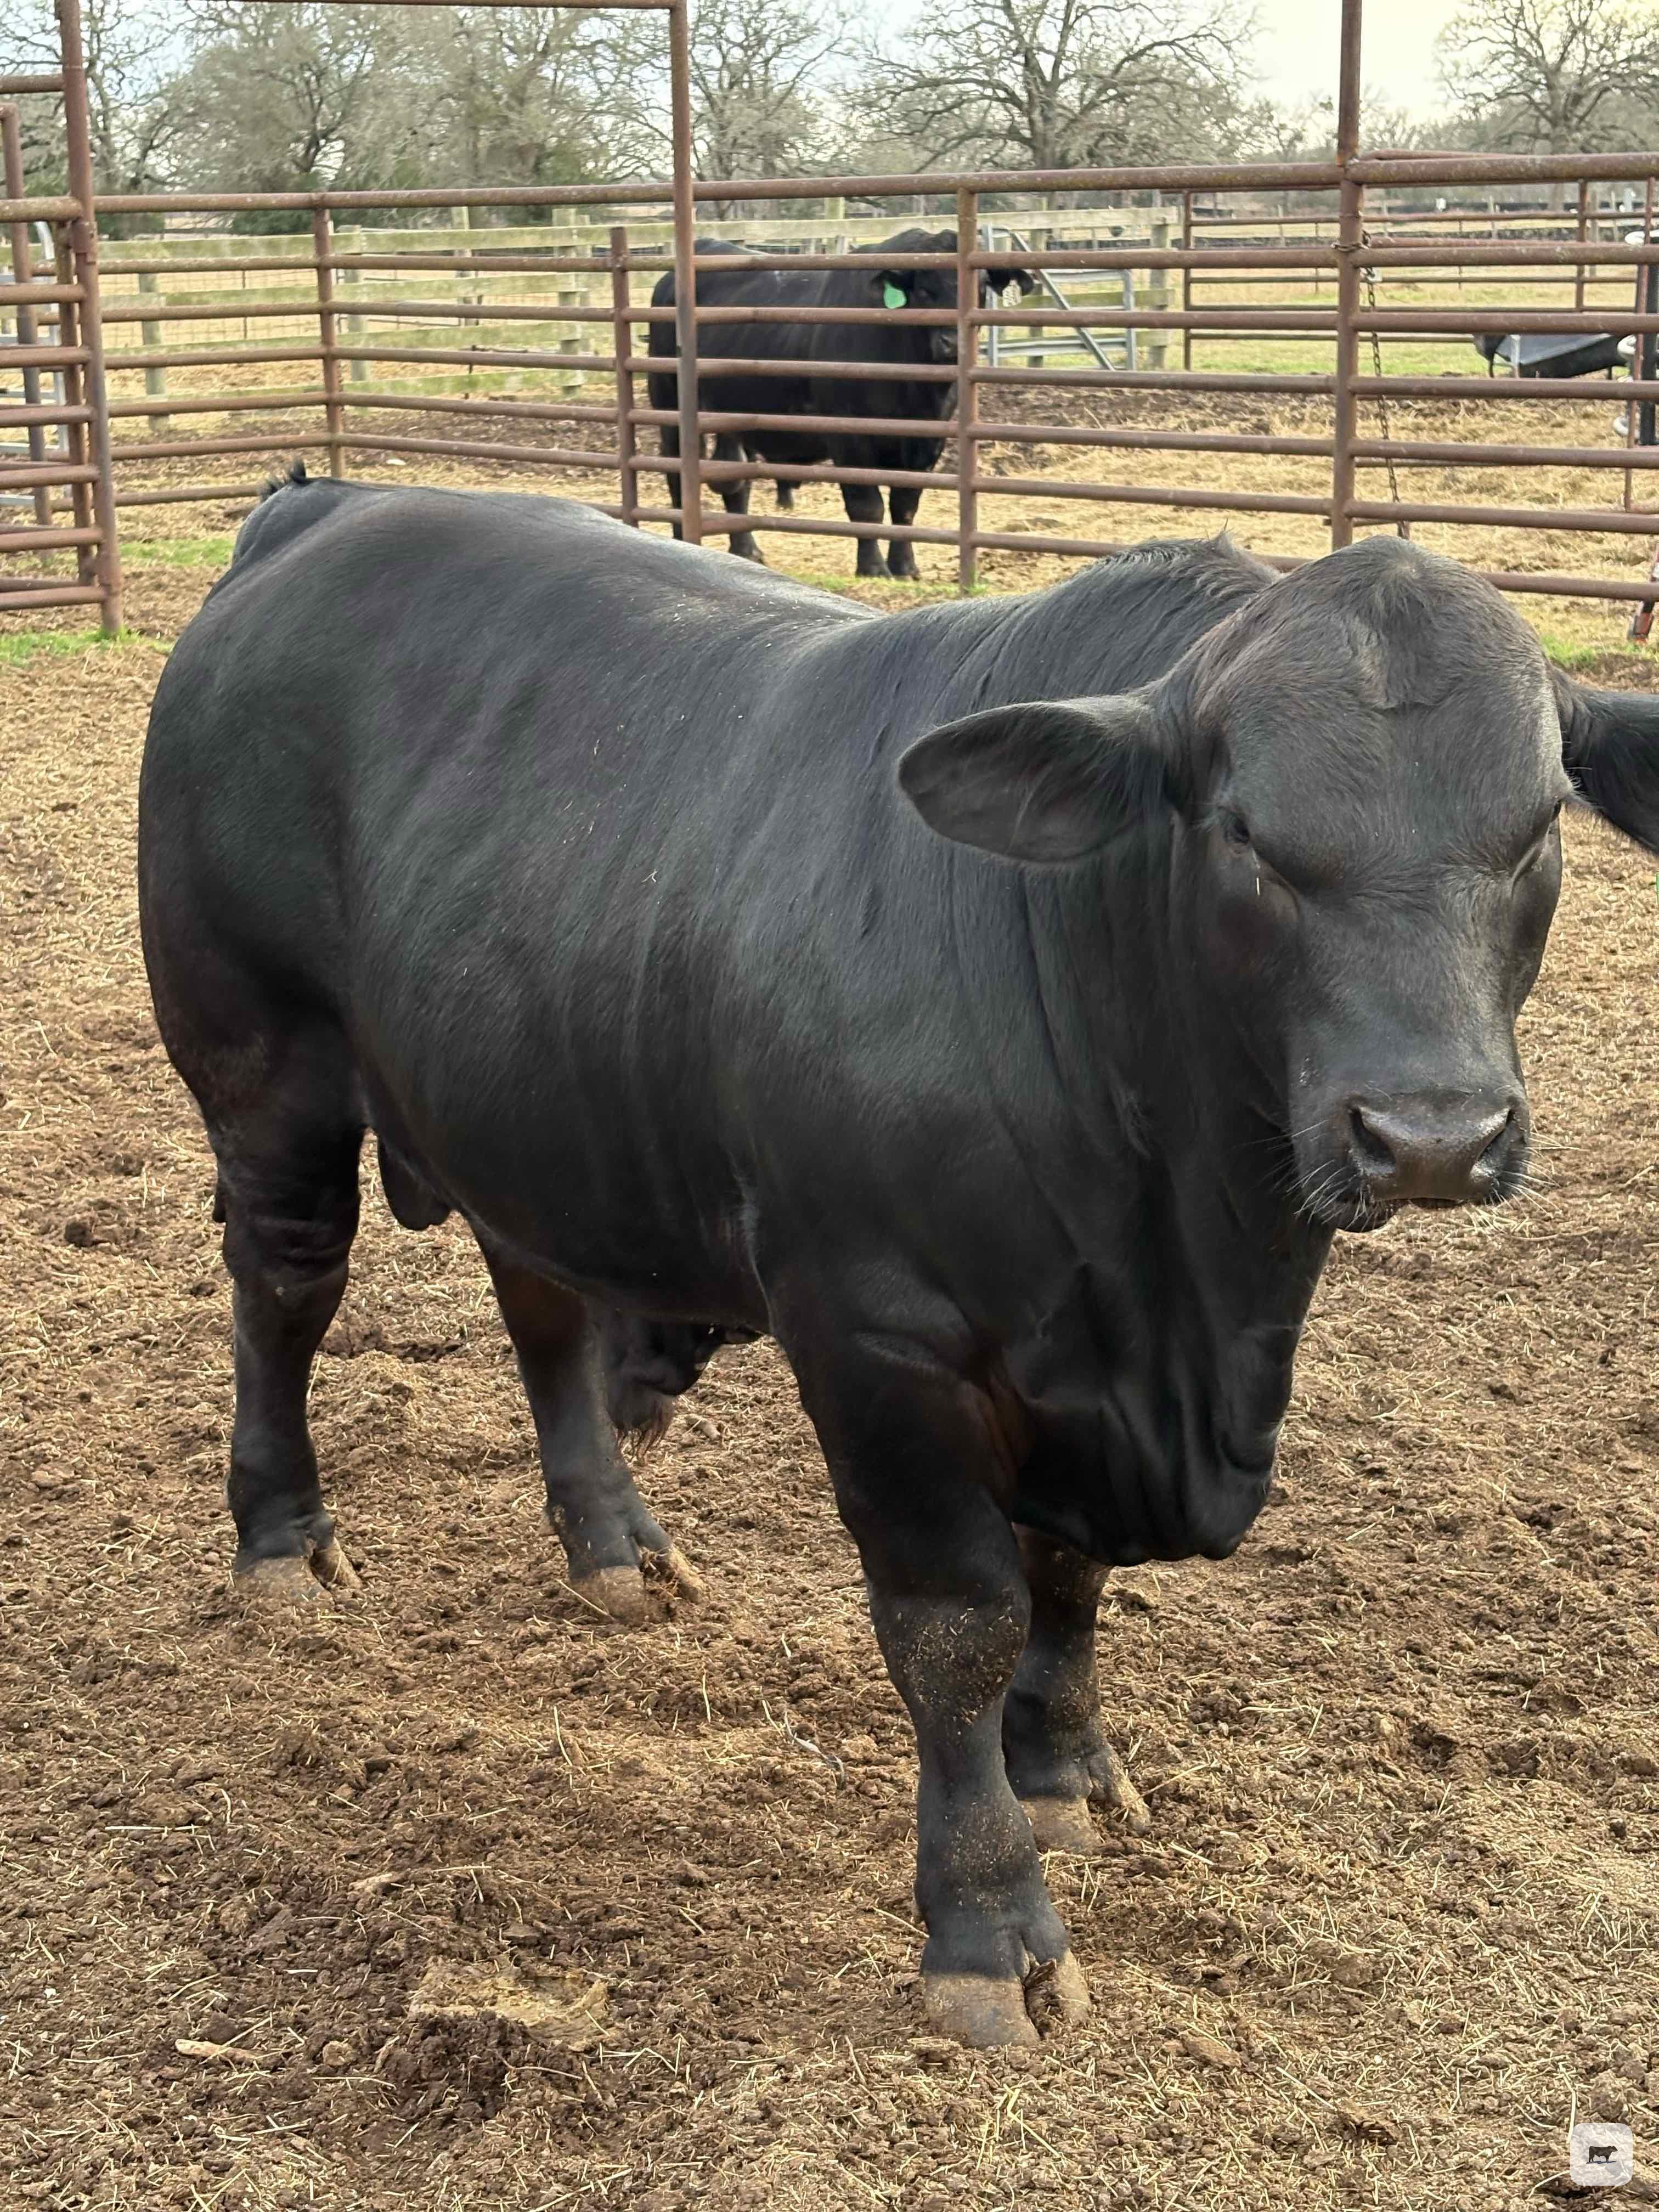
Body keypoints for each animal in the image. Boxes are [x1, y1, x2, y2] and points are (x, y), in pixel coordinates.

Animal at [139, 475, 1659, 2048]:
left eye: (1541, 825)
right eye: (1245, 834)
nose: (1433, 1134)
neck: (1182, 1284)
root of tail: (330, 506)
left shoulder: (1083, 1368)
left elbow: (1066, 1578)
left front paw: (1067, 1773)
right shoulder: (880, 1339)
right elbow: (960, 1624)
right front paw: (990, 1925)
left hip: (517, 1102)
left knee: (541, 1305)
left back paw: (616, 1548)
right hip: (264, 1068)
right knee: (288, 1288)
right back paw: (282, 1542)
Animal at [647, 229, 1034, 578]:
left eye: (980, 287)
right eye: (925, 288)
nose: (951, 342)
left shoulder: (927, 441)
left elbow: (906, 505)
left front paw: (905, 566)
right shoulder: (849, 437)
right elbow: (867, 506)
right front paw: (874, 567)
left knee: (736, 479)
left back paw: (747, 550)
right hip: (669, 408)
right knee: (677, 473)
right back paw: (681, 540)